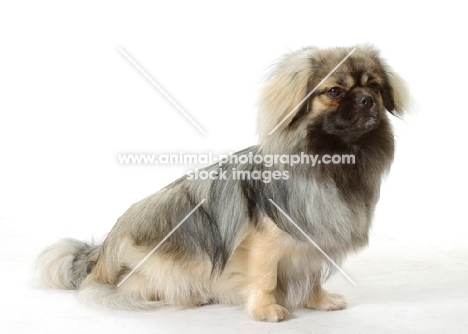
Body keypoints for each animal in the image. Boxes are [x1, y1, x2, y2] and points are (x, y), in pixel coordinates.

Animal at [38, 44, 408, 320]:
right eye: (334, 91)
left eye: (375, 87)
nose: (366, 99)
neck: (333, 161)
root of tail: (101, 253)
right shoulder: (265, 245)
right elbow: (265, 276)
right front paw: (266, 310)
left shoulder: (313, 242)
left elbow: (311, 276)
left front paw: (319, 300)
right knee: (135, 289)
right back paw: (190, 297)